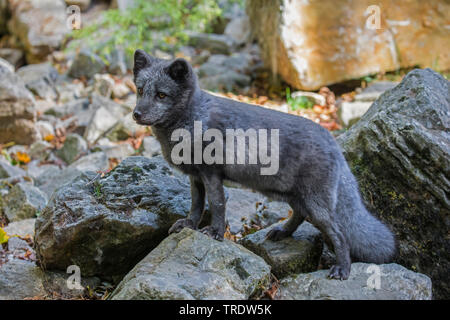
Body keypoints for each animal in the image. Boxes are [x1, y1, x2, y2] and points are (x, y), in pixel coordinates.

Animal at [132, 48, 396, 278]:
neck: (193, 119)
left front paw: (215, 233)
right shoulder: (195, 176)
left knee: (339, 234)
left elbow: (217, 205)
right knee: (300, 215)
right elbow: (196, 204)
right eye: (140, 90)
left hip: (316, 204)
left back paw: (343, 269)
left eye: (161, 95)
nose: (136, 114)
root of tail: (332, 142)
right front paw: (189, 224)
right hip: (295, 196)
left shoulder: (211, 174)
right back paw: (282, 232)